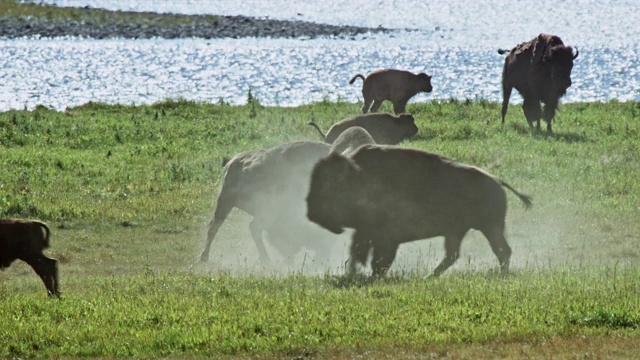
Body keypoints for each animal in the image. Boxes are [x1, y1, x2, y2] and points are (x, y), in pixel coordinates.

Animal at [304, 145, 528, 278]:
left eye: (330, 186)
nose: (311, 213)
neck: (359, 177)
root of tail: (497, 181)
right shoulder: (365, 233)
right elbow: (358, 253)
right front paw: (353, 274)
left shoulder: (384, 238)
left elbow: (378, 259)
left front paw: (373, 276)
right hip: (460, 231)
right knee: (454, 255)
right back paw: (430, 276)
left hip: (489, 228)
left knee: (501, 251)